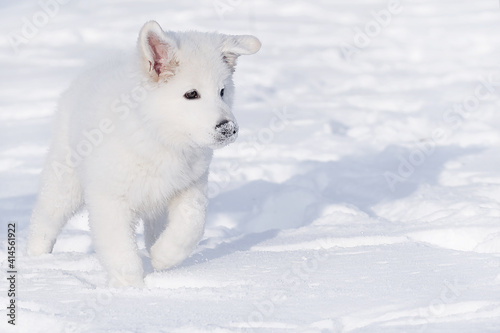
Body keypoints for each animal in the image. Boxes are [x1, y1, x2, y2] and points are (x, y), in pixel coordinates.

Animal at [26, 20, 262, 286]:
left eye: (222, 91)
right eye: (191, 94)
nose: (228, 128)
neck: (159, 138)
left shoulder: (190, 186)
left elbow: (192, 223)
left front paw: (163, 257)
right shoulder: (110, 198)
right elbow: (120, 248)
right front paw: (130, 287)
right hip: (66, 180)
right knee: (45, 217)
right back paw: (38, 261)